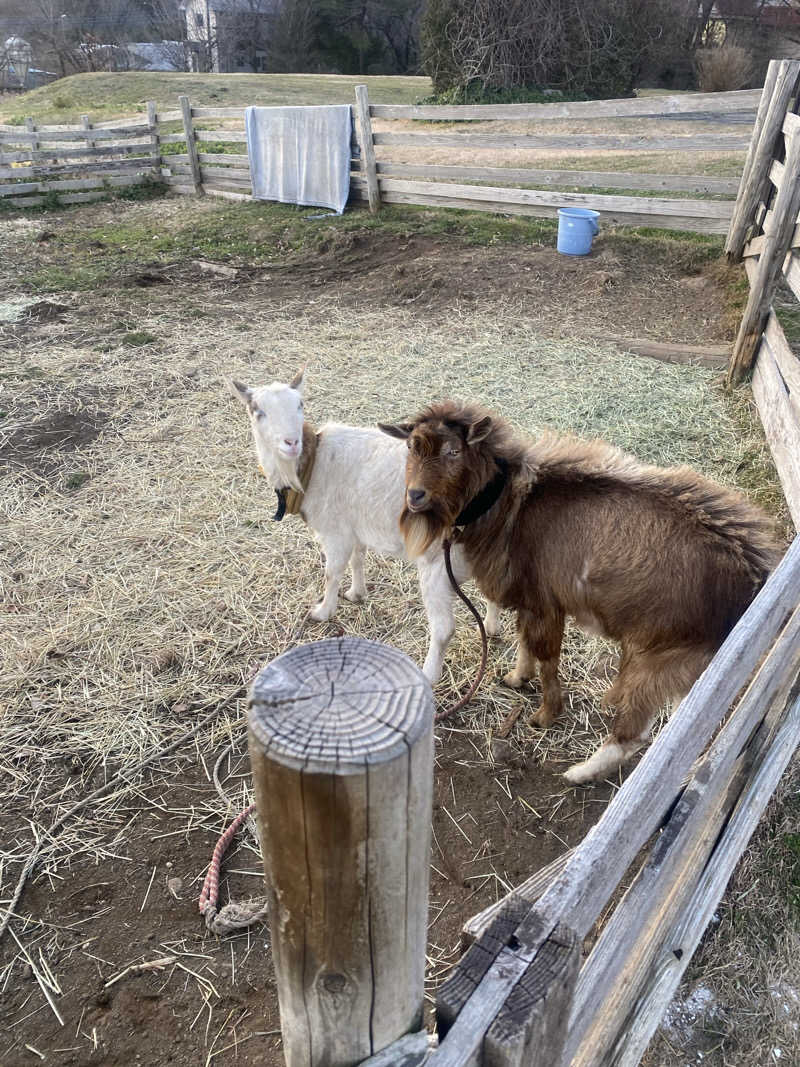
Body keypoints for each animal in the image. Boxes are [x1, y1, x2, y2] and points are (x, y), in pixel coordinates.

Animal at [228, 369, 499, 682]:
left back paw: (428, 675)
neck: (312, 465)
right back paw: (491, 628)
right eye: (257, 411)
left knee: (444, 629)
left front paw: (322, 611)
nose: (291, 442)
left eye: (300, 405)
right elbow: (357, 559)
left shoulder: (335, 532)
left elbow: (331, 573)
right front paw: (356, 594)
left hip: (440, 565)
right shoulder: (353, 525)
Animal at [381, 401, 785, 785]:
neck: (514, 503)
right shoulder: (532, 598)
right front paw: (516, 678)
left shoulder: (546, 603)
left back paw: (580, 773)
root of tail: (753, 581)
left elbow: (546, 658)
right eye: (411, 447)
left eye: (453, 451)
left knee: (632, 733)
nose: (415, 496)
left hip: (658, 659)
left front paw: (544, 716)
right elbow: (525, 643)